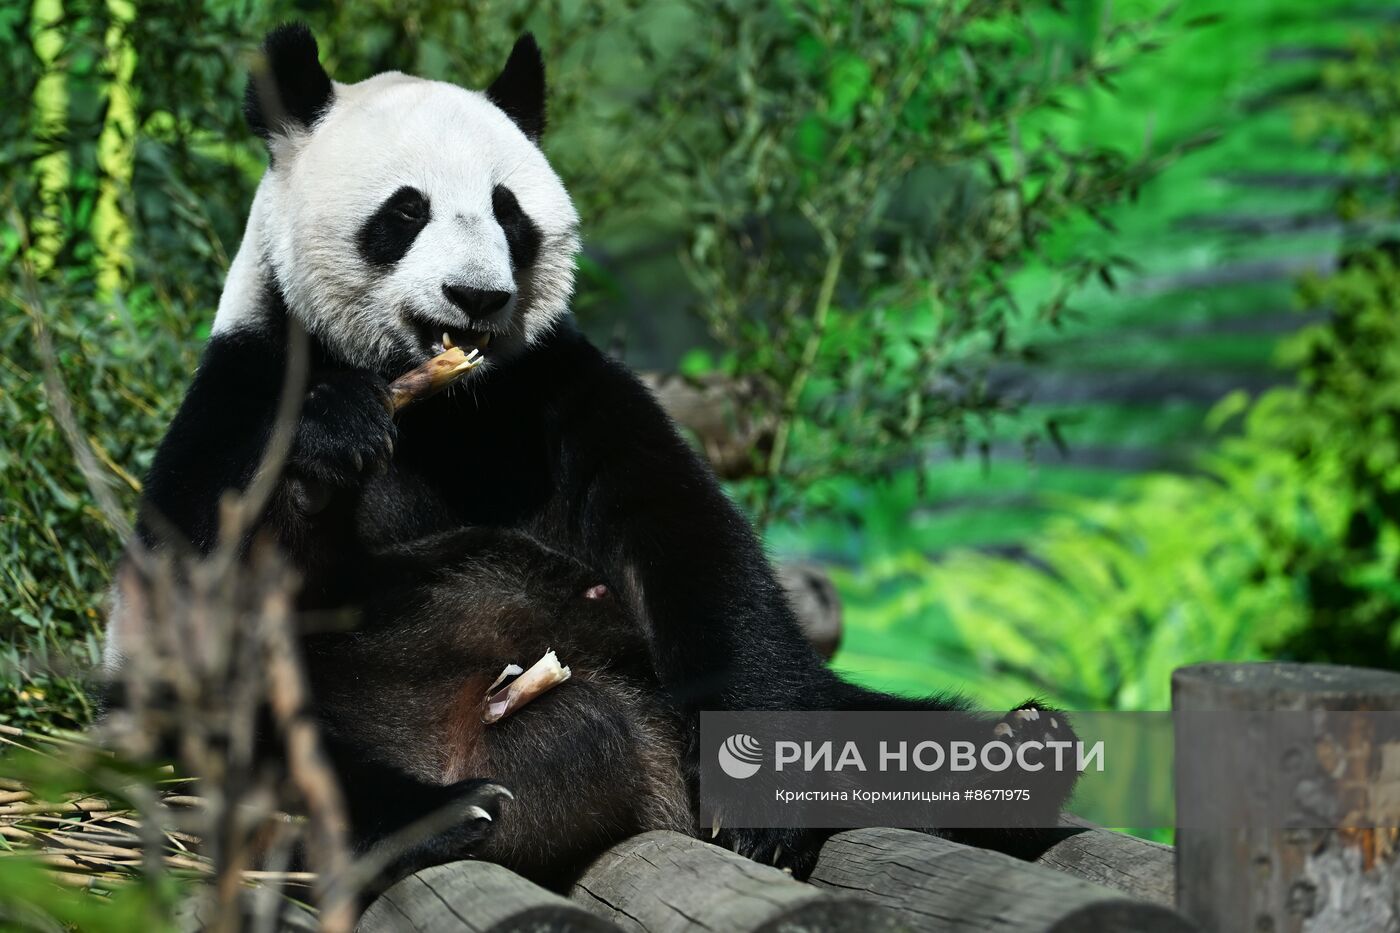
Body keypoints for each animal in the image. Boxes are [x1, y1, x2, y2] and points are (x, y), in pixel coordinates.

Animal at [109, 19, 1075, 879]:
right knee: (275, 742)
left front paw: (764, 804)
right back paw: (438, 813)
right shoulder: (240, 395)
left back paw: (1015, 750)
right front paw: (336, 435)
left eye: (507, 212)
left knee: (846, 711)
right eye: (406, 210)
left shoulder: (554, 391)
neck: (441, 403)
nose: (477, 296)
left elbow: (690, 546)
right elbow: (214, 595)